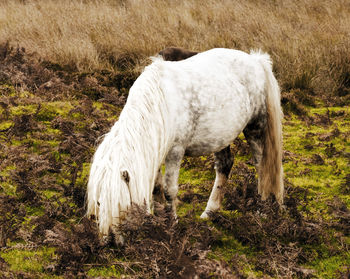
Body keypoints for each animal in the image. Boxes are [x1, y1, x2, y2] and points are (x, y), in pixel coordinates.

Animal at [87, 48, 284, 236]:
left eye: (119, 204)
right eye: (98, 202)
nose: (111, 241)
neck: (160, 101)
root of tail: (256, 60)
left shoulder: (175, 152)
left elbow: (169, 190)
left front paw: (171, 223)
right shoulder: (155, 150)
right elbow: (156, 187)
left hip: (254, 128)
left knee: (263, 167)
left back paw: (263, 210)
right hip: (220, 136)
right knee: (225, 165)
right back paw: (210, 212)